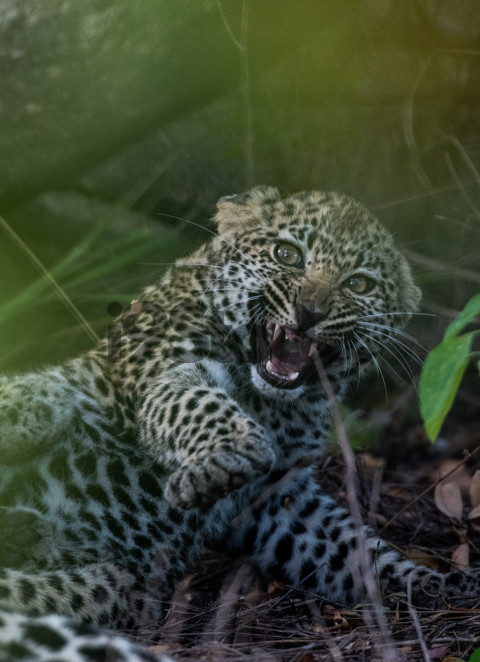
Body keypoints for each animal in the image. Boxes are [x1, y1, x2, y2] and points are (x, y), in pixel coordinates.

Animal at [0, 186, 478, 662]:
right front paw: (223, 460)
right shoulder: (163, 372)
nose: (310, 312)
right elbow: (200, 403)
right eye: (287, 254)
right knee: (53, 398)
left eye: (358, 283)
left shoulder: (279, 500)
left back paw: (23, 532)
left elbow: (349, 548)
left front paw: (438, 584)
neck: (271, 404)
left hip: (110, 585)